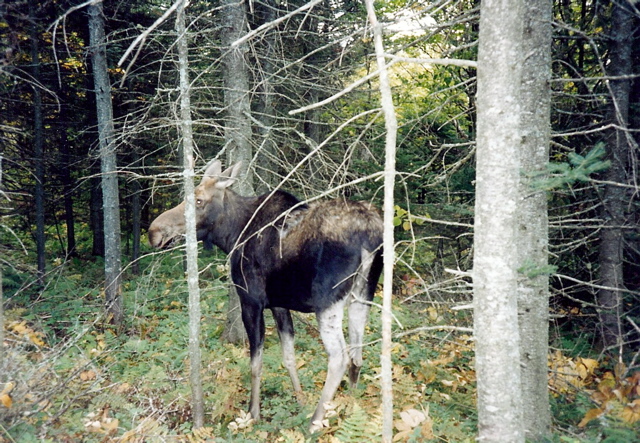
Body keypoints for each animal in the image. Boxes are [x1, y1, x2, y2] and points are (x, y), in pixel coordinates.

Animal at [148, 161, 382, 432]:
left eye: (198, 200)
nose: (153, 232)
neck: (232, 235)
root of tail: (370, 236)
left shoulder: (251, 301)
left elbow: (255, 363)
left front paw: (253, 413)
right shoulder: (279, 305)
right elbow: (289, 356)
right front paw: (299, 399)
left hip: (327, 301)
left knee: (339, 357)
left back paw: (315, 422)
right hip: (363, 294)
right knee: (357, 352)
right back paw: (352, 408)